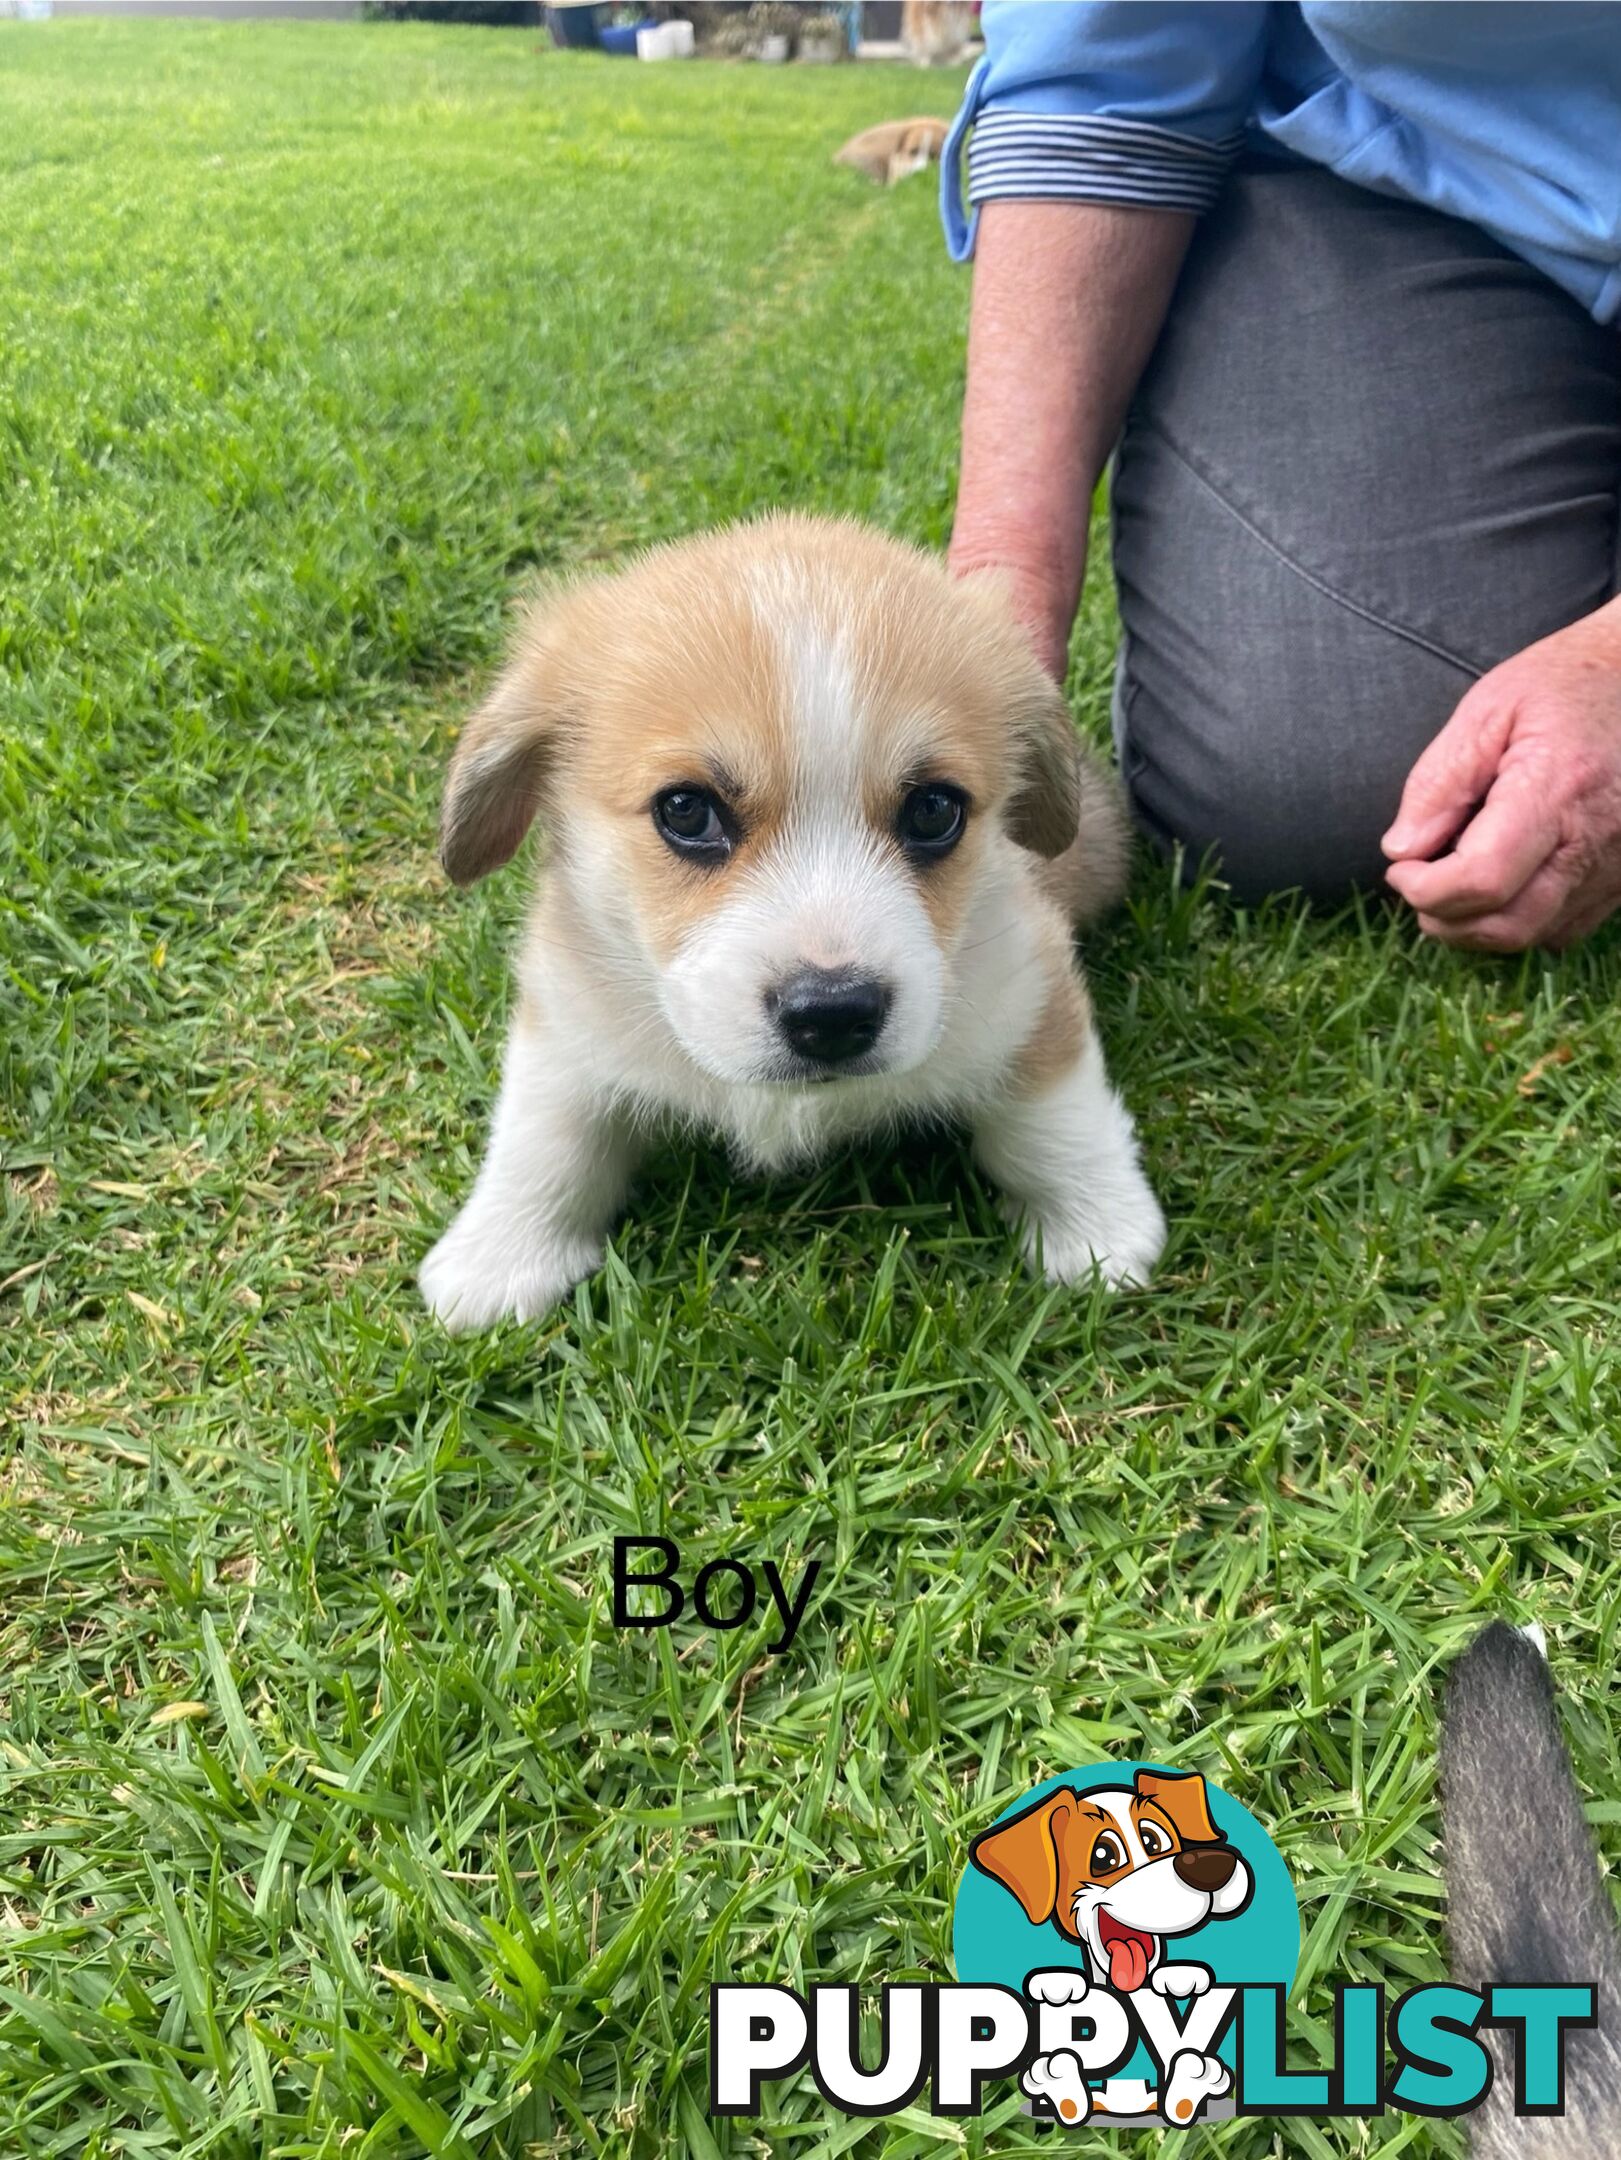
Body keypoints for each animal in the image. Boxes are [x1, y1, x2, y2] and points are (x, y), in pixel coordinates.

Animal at [421, 522, 1167, 1330]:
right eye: (686, 810)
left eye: (935, 810)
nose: (833, 1015)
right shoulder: (567, 1025)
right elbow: (544, 1142)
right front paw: (500, 1255)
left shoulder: (1029, 991)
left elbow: (1055, 1122)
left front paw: (1097, 1229)